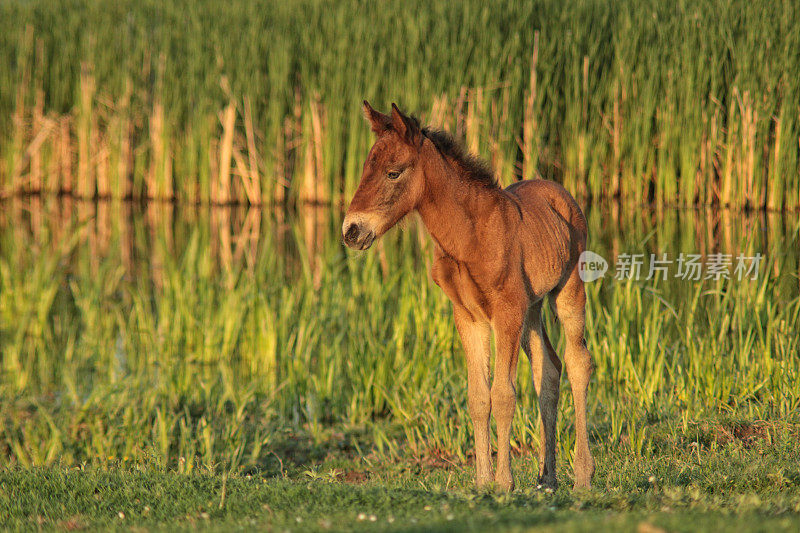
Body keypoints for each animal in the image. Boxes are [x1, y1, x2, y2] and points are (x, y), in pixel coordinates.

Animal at [342, 101, 592, 490]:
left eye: (393, 173)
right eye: (366, 168)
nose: (351, 231)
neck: (469, 236)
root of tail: (559, 192)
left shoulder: (506, 311)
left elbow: (503, 394)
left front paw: (503, 483)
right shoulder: (468, 316)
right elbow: (478, 398)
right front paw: (483, 483)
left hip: (567, 291)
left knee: (578, 362)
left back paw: (582, 475)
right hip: (532, 310)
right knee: (548, 370)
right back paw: (547, 478)